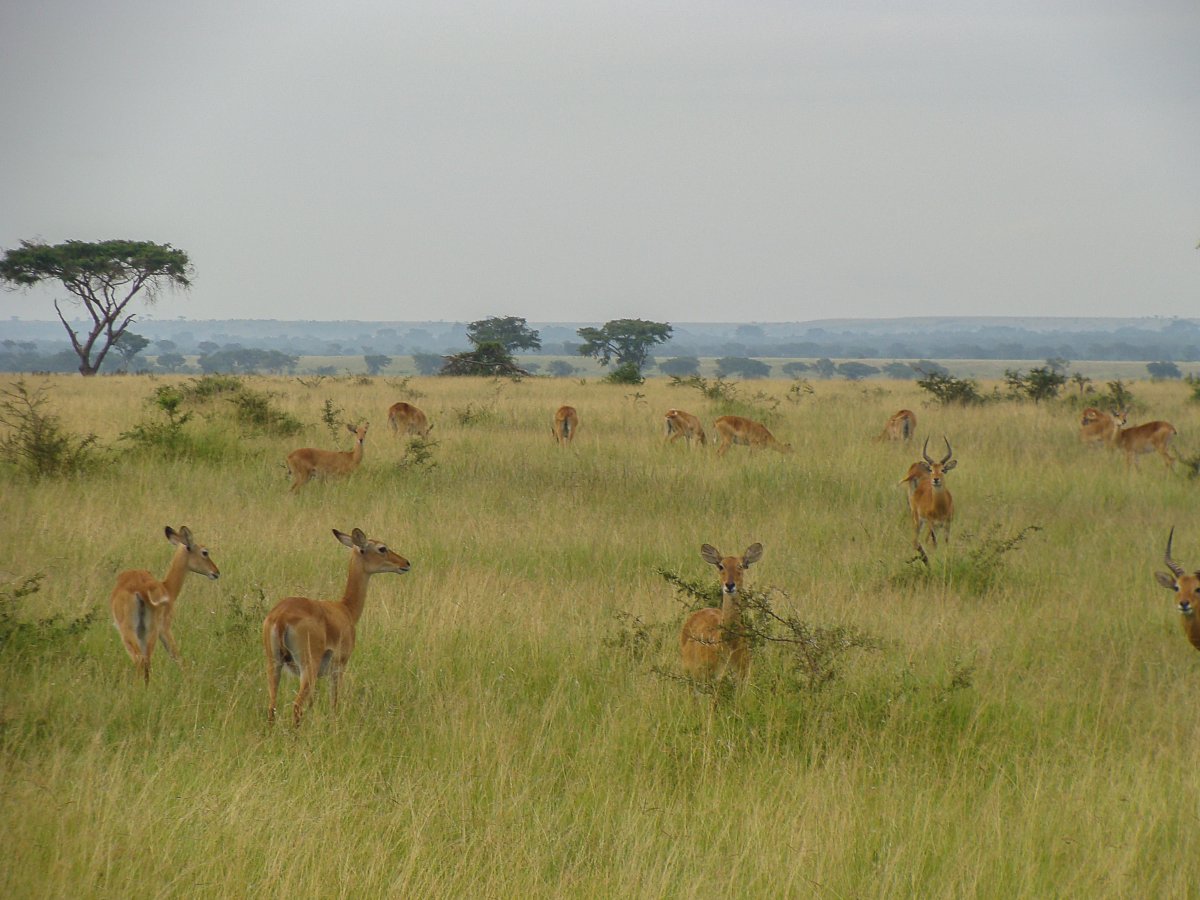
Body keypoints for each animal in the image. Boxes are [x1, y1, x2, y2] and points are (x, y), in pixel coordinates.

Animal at [109, 528, 219, 681]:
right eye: (205, 552)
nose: (216, 572)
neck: (167, 588)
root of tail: (141, 589)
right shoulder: (165, 628)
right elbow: (177, 656)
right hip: (148, 631)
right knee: (144, 660)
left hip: (136, 631)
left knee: (142, 660)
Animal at [262, 528, 412, 724]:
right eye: (382, 548)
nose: (406, 563)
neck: (345, 609)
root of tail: (281, 616)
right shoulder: (339, 667)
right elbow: (334, 703)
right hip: (307, 667)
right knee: (296, 706)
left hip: (274, 664)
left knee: (271, 707)